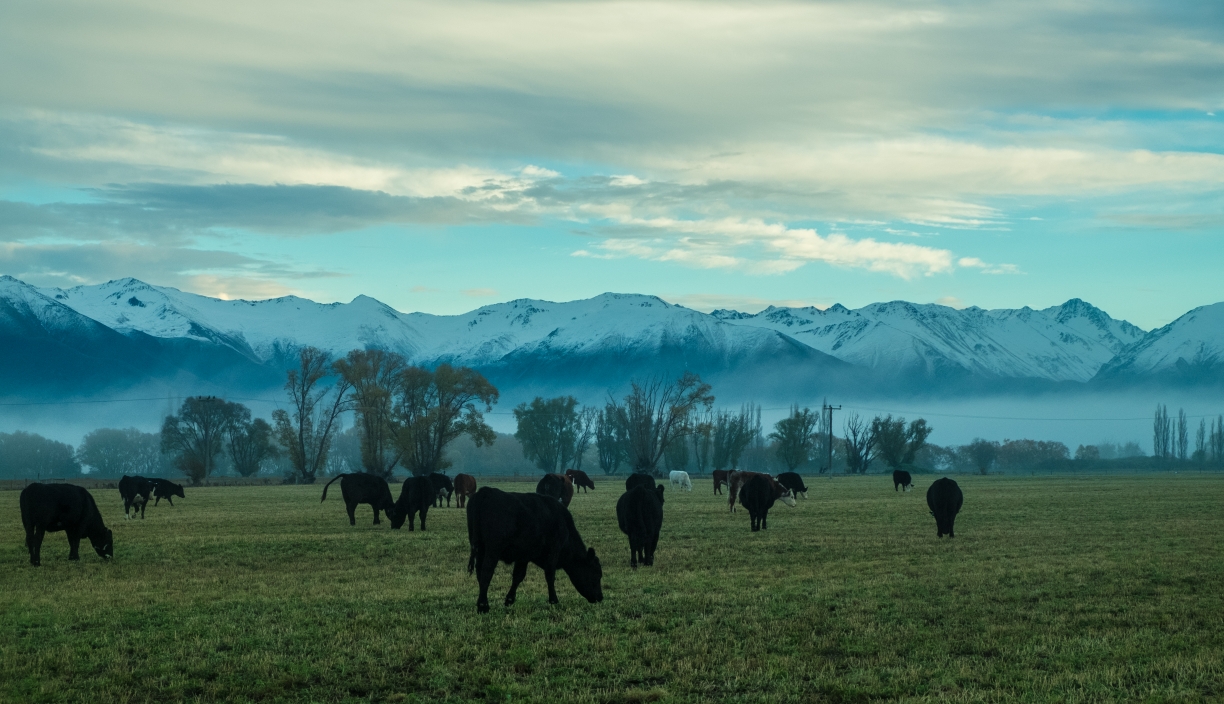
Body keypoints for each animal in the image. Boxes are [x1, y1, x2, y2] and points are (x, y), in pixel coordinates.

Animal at [465, 489, 604, 612]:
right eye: (597, 573)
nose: (600, 597)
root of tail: (486, 491)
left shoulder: (523, 556)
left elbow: (518, 576)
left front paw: (509, 599)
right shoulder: (553, 552)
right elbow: (550, 576)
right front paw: (553, 600)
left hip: (480, 549)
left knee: (480, 573)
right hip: (492, 551)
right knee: (486, 573)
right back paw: (483, 606)